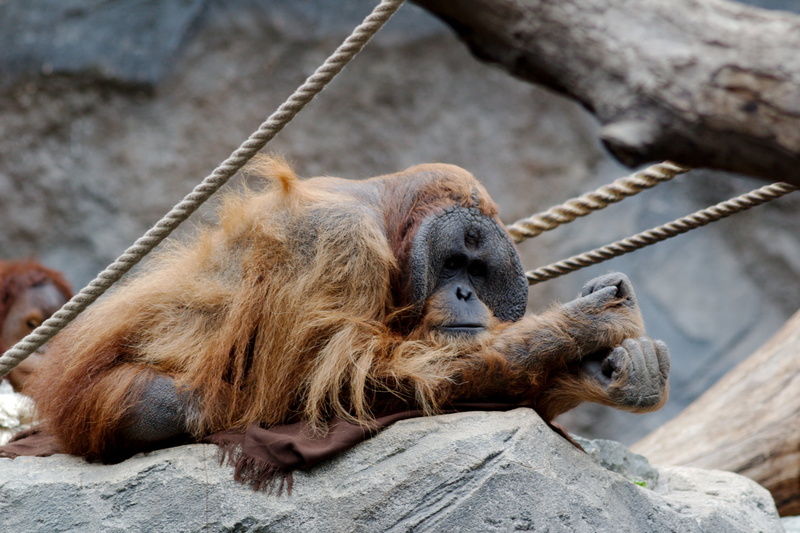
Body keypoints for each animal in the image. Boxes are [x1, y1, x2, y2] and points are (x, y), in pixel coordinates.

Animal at [29, 157, 669, 464]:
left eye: (480, 271)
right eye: (452, 264)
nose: (466, 293)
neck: (388, 226)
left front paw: (615, 371)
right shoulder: (337, 241)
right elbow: (340, 384)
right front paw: (586, 325)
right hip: (93, 399)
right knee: (177, 405)